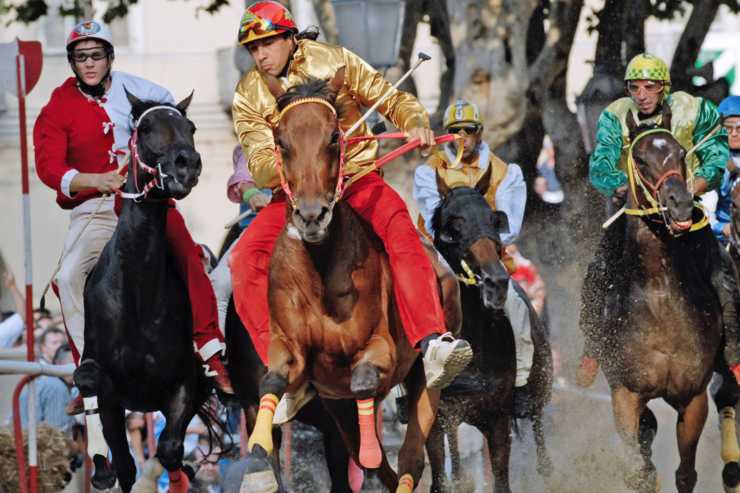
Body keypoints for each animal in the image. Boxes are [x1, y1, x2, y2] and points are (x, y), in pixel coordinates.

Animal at [75, 90, 212, 490]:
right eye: (147, 127)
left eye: (190, 127)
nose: (187, 164)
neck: (138, 296)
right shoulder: (110, 396)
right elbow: (125, 463)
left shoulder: (183, 384)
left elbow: (169, 450)